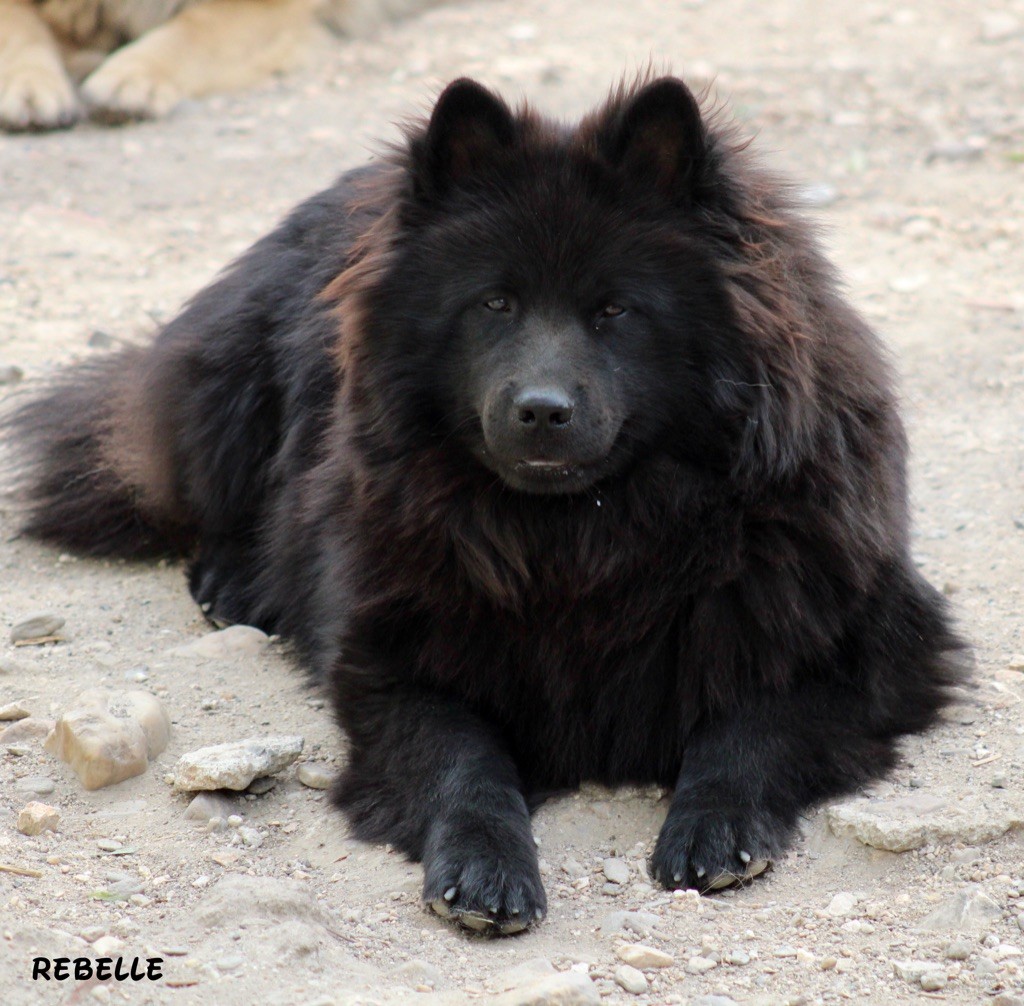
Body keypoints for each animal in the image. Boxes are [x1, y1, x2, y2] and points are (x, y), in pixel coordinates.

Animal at [8, 74, 962, 934]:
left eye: (616, 310)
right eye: (494, 302)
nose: (541, 409)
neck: (588, 540)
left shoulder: (858, 644)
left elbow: (751, 722)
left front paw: (713, 827)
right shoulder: (399, 663)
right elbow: (463, 764)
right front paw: (482, 868)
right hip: (230, 386)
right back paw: (235, 583)